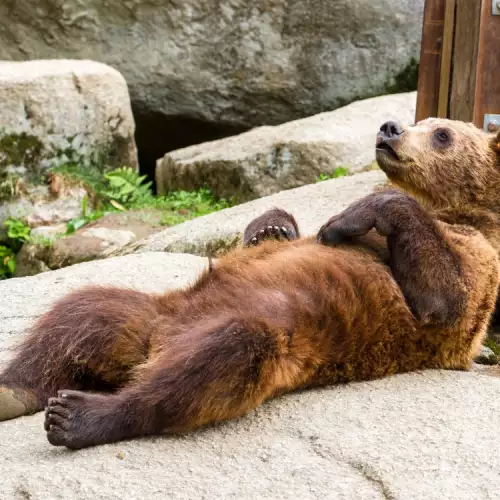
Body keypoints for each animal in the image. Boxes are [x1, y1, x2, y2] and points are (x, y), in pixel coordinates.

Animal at [0, 117, 498, 450]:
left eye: (442, 133)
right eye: (420, 122)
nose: (391, 127)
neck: (447, 208)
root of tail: (153, 349)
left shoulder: (478, 261)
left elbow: (447, 299)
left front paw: (350, 217)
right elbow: (272, 235)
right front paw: (273, 226)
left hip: (274, 338)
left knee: (221, 359)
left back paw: (77, 416)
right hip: (152, 314)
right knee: (83, 311)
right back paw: (13, 390)